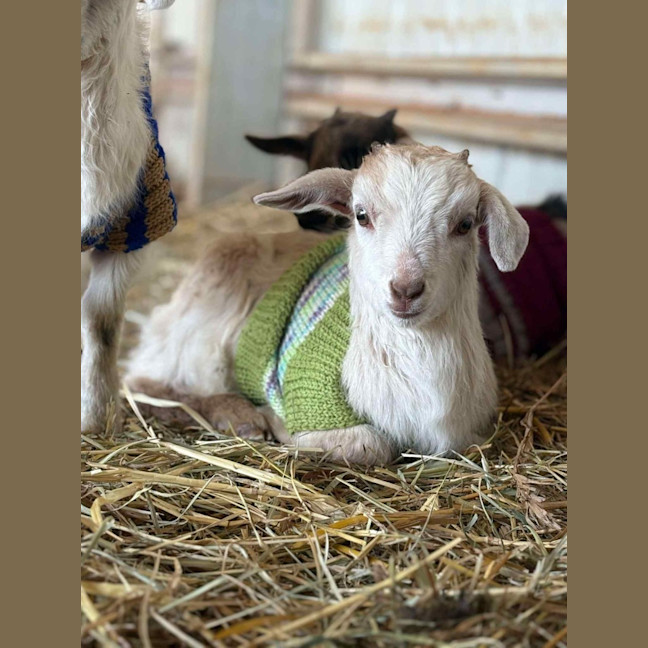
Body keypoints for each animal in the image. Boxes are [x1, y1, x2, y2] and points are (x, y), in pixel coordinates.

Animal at [126, 143, 529, 465]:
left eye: (465, 224)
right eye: (361, 215)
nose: (405, 289)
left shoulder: (466, 434)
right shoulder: (316, 401)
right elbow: (367, 445)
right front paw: (275, 420)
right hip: (201, 331)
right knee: (145, 384)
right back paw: (240, 416)